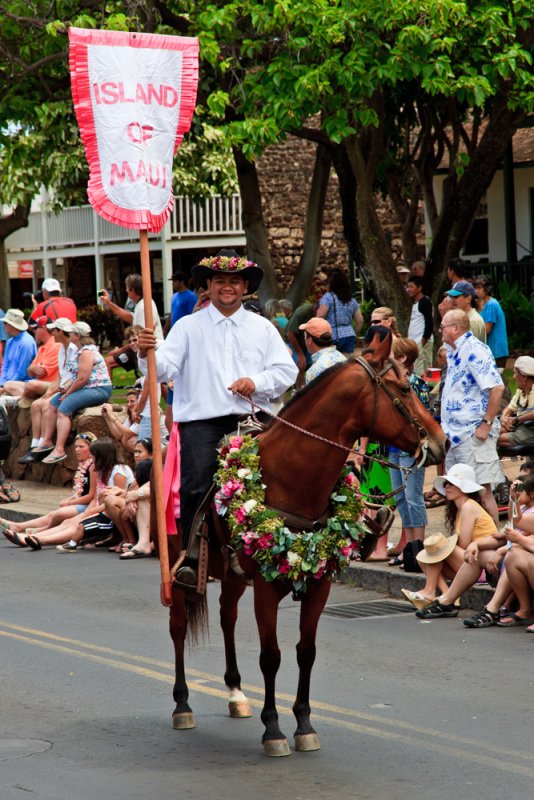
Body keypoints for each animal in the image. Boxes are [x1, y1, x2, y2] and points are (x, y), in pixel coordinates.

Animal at [168, 332, 448, 756]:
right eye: (402, 388)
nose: (441, 441)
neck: (291, 475)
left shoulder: (320, 585)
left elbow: (306, 652)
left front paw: (303, 724)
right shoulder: (266, 587)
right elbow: (271, 656)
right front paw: (273, 729)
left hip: (232, 575)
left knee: (226, 616)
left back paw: (235, 692)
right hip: (178, 568)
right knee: (179, 626)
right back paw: (182, 704)